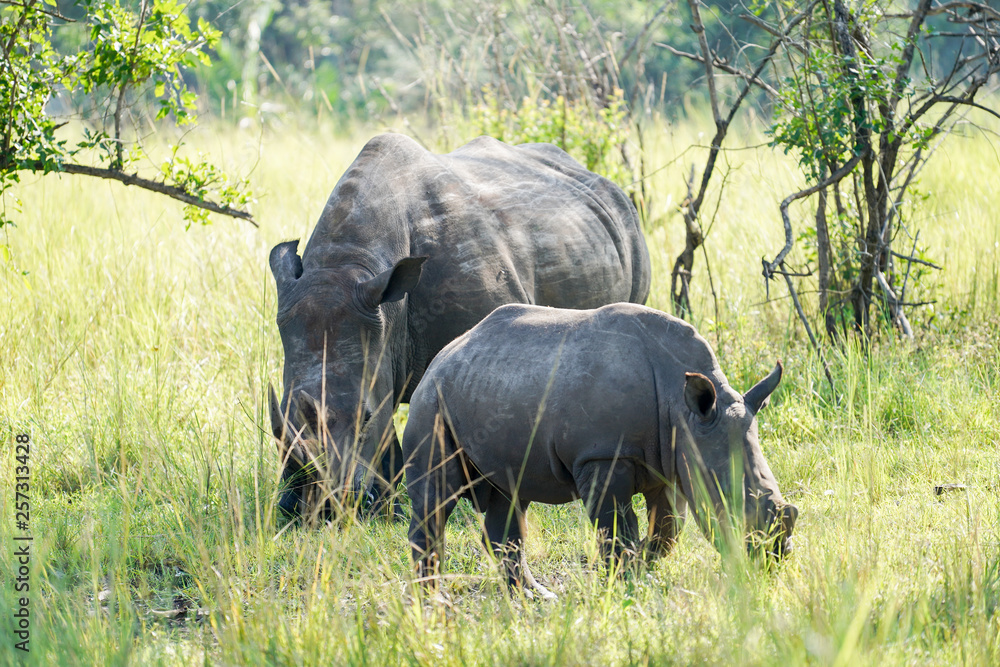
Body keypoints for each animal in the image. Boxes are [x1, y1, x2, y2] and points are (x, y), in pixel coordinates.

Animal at [403, 303, 798, 598]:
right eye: (729, 500)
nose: (774, 556)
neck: (683, 409)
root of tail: (441, 355)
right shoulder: (604, 455)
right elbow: (617, 526)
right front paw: (626, 581)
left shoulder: (669, 460)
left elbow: (668, 526)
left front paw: (640, 567)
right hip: (431, 402)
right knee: (436, 496)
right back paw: (434, 602)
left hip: (487, 384)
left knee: (509, 494)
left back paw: (534, 596)